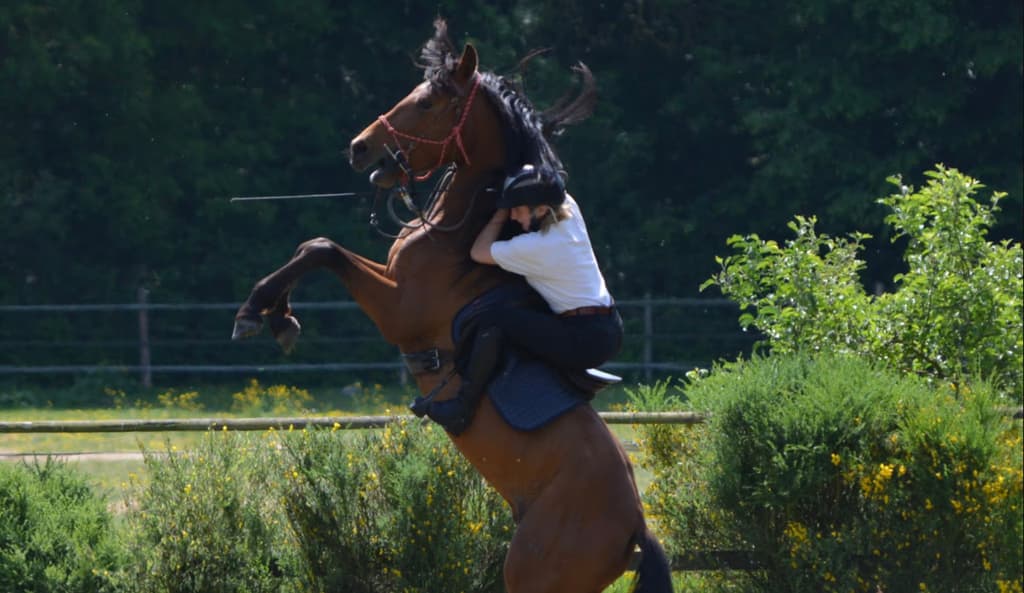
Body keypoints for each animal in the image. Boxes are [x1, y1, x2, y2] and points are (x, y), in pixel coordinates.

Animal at [232, 18, 672, 593]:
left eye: (425, 103)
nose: (358, 147)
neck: (457, 236)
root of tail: (636, 527)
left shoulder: (398, 308)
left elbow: (321, 248)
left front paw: (258, 311)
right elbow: (317, 246)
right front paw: (277, 316)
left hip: (533, 572)